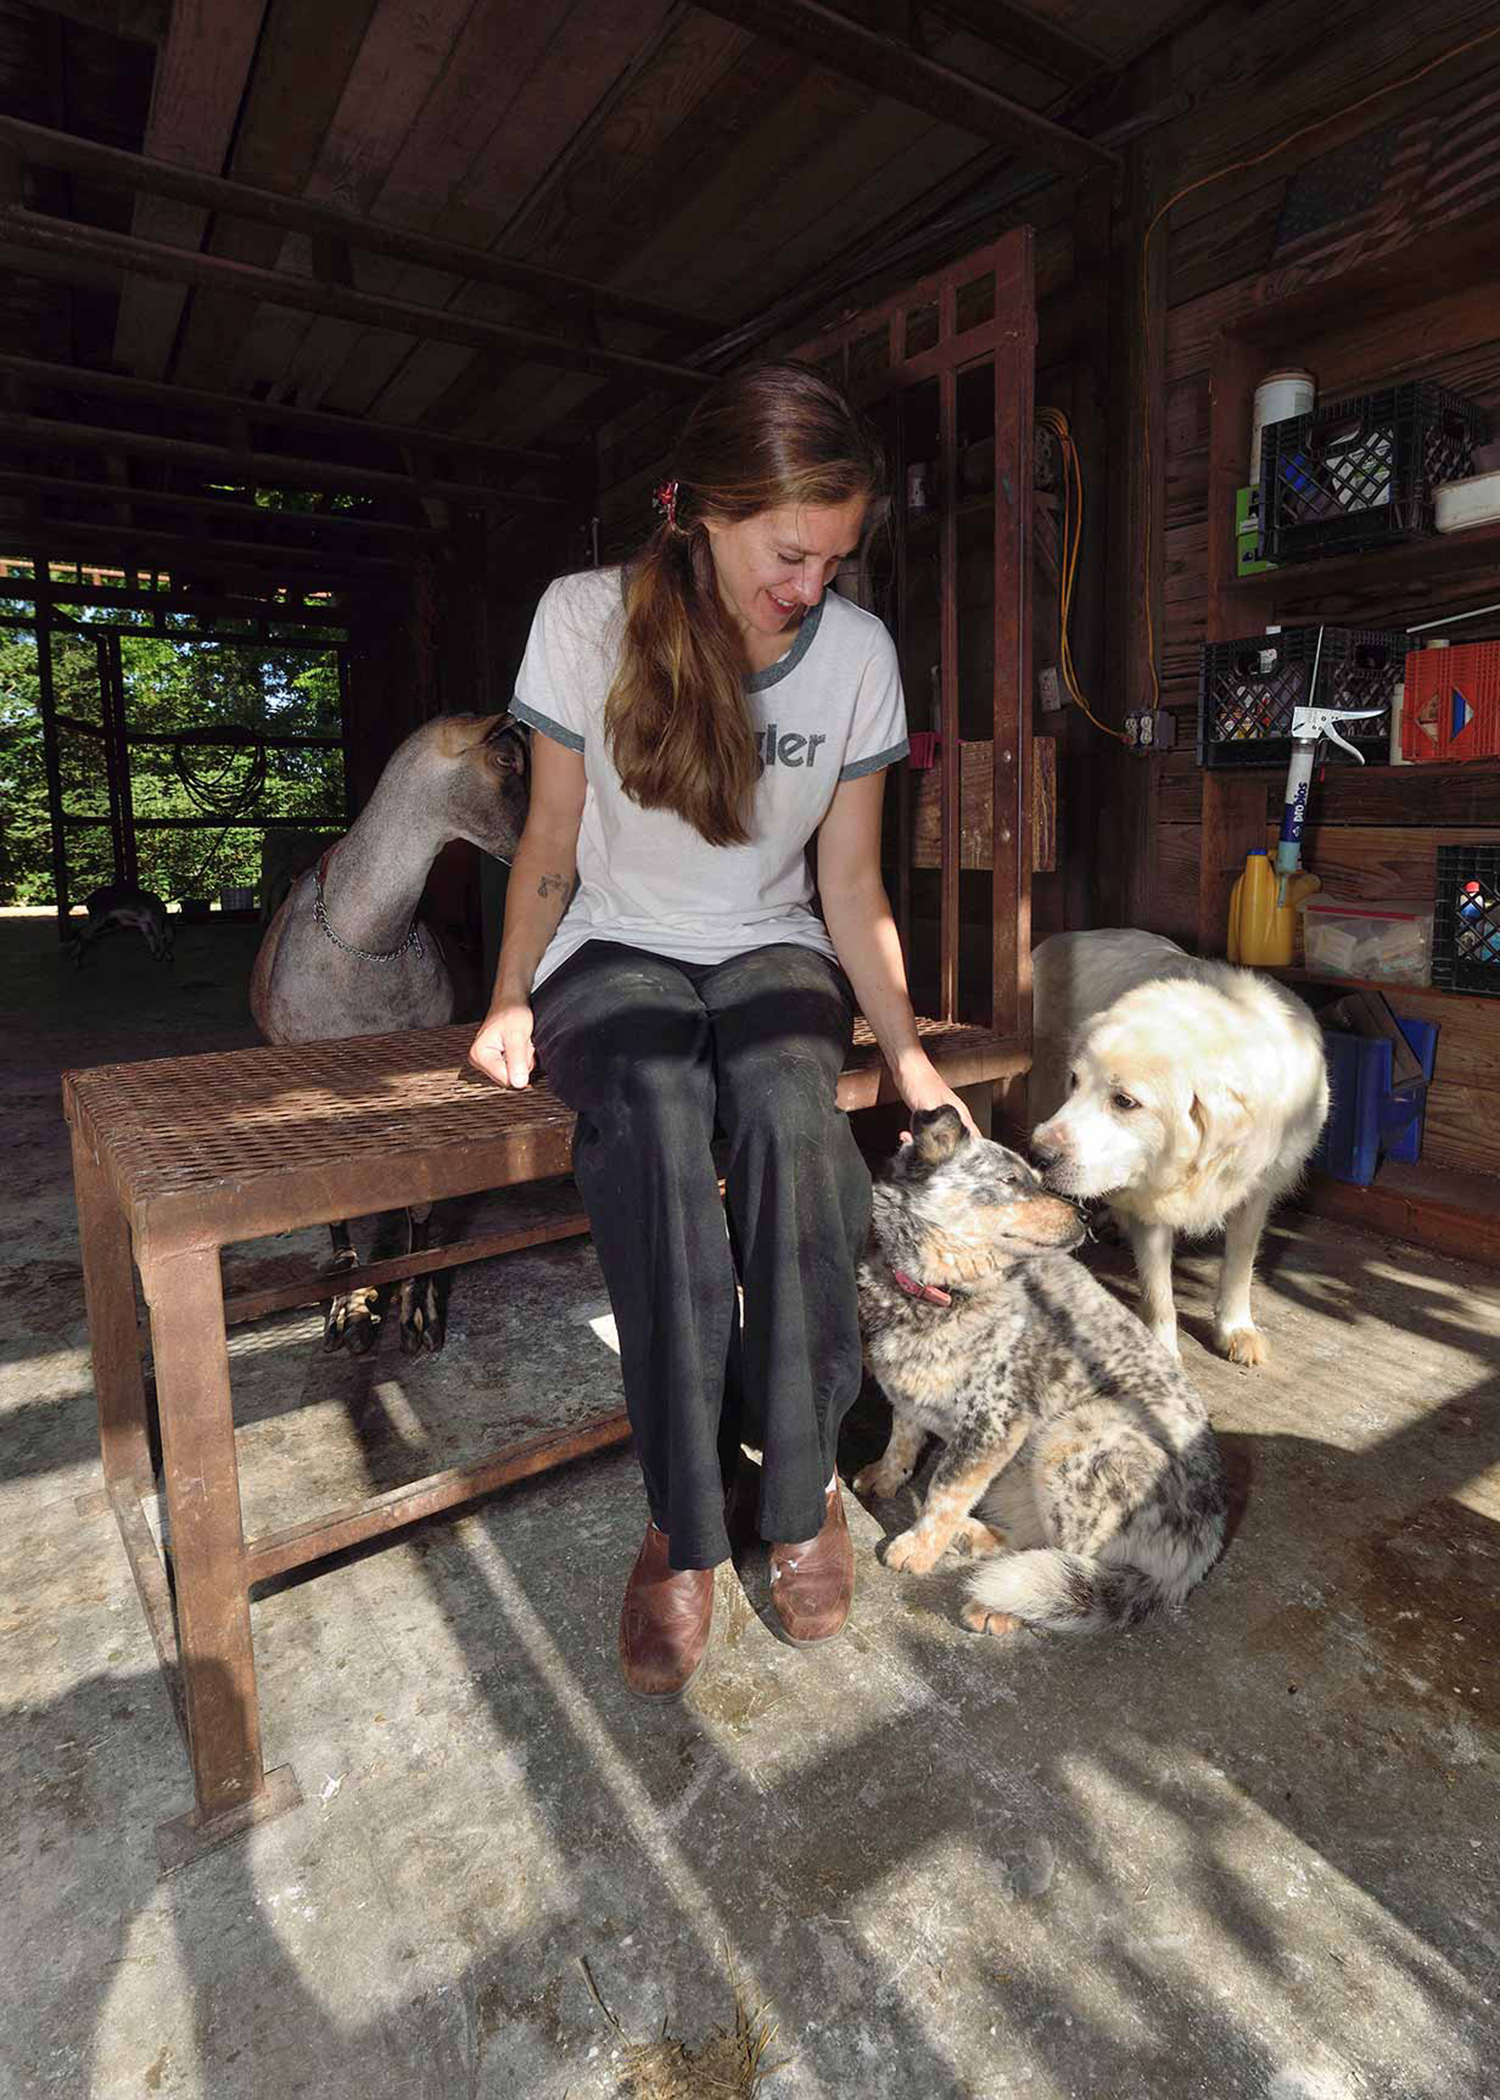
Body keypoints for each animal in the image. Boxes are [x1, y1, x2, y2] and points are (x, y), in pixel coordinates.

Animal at [857, 1108, 1218, 1629]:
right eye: (1010, 1180)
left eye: (1035, 1176)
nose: (1086, 1214)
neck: (942, 1295)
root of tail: (1199, 1551)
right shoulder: (910, 1388)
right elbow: (902, 1440)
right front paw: (886, 1478)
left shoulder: (996, 1423)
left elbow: (945, 1489)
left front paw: (919, 1548)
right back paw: (979, 1538)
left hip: (1074, 1437)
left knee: (1073, 1559)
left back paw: (1005, 1605)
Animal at [1021, 932, 1327, 1360]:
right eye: (1075, 1081)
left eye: (1125, 1101)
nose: (1039, 1155)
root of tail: (1058, 938)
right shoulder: (1151, 1202)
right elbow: (1158, 1291)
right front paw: (1161, 1350)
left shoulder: (1255, 1190)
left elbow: (1239, 1265)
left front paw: (1236, 1327)